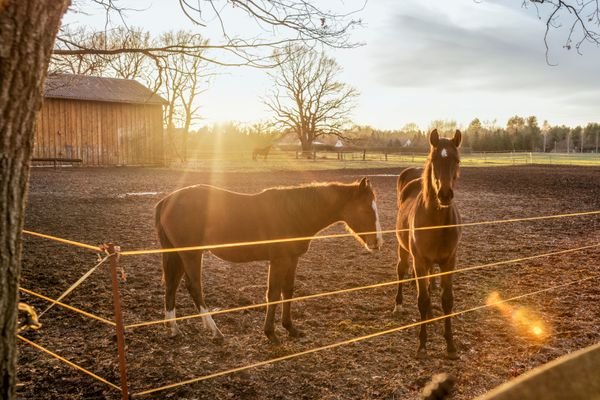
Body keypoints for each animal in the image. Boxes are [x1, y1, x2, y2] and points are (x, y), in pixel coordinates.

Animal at [156, 179, 384, 344]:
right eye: (366, 209)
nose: (378, 242)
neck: (294, 213)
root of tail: (167, 201)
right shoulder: (279, 260)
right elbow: (273, 294)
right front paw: (271, 333)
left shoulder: (292, 260)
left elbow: (288, 291)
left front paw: (291, 328)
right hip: (191, 255)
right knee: (194, 287)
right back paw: (215, 331)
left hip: (177, 254)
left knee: (172, 285)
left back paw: (173, 329)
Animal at [396, 129, 462, 360]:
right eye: (434, 160)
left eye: (456, 160)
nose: (445, 194)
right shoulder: (420, 261)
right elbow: (422, 300)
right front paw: (422, 345)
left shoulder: (449, 261)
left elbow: (447, 300)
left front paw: (450, 346)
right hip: (404, 250)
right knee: (401, 270)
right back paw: (398, 305)